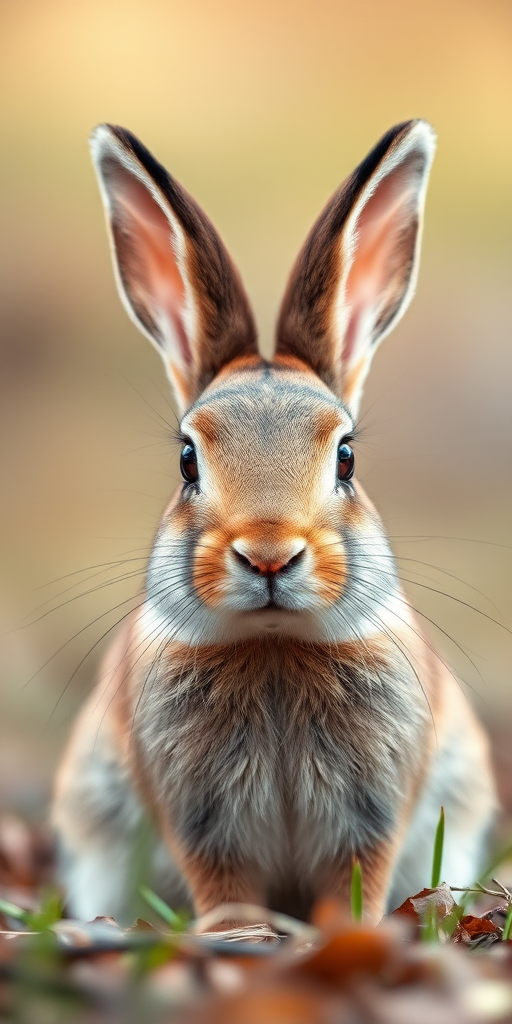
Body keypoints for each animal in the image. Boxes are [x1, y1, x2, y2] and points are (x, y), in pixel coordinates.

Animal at [53, 120, 497, 927]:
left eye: (346, 456)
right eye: (187, 461)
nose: (267, 555)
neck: (274, 645)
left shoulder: (372, 812)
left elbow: (358, 877)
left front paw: (338, 932)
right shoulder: (197, 817)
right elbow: (221, 879)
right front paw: (239, 932)